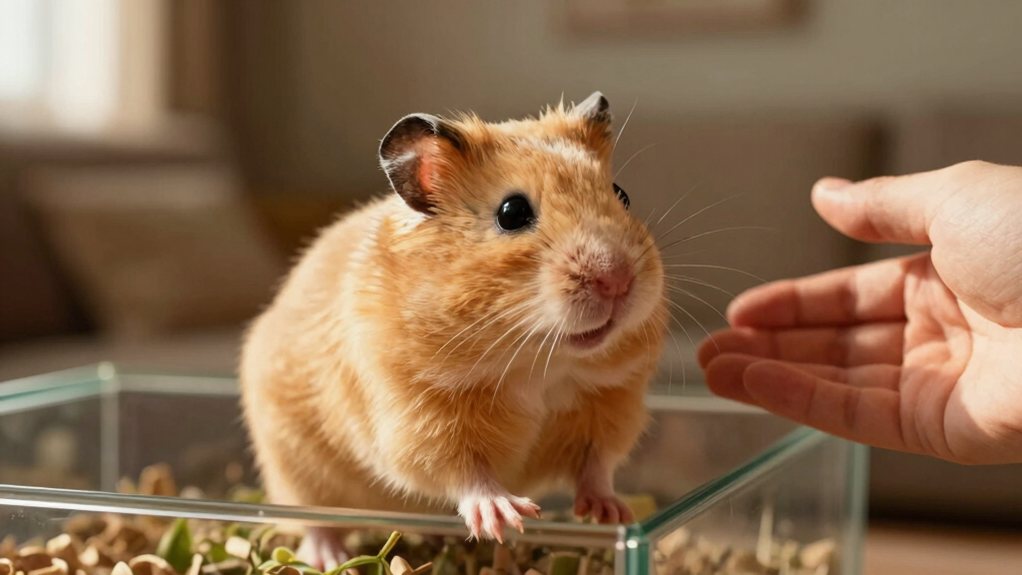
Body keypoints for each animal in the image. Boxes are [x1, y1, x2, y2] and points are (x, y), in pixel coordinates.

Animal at [240, 92, 666, 565]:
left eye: (621, 194)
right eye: (512, 213)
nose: (617, 280)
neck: (537, 360)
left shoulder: (611, 403)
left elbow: (597, 463)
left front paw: (611, 512)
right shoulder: (420, 419)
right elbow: (464, 472)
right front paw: (507, 516)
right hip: (293, 466)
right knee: (315, 521)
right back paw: (330, 558)